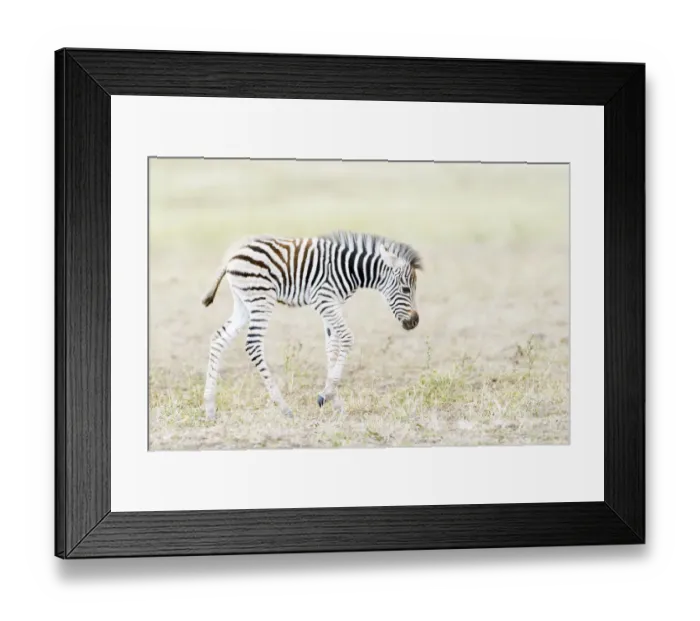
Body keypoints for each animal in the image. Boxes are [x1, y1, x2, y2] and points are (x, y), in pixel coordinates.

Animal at [201, 231, 422, 420]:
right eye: (405, 289)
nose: (415, 322)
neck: (349, 268)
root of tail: (234, 254)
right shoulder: (324, 300)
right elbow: (347, 338)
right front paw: (327, 395)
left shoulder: (333, 304)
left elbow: (332, 347)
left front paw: (333, 400)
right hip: (261, 299)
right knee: (253, 345)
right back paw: (283, 406)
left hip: (243, 304)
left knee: (219, 338)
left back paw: (210, 407)